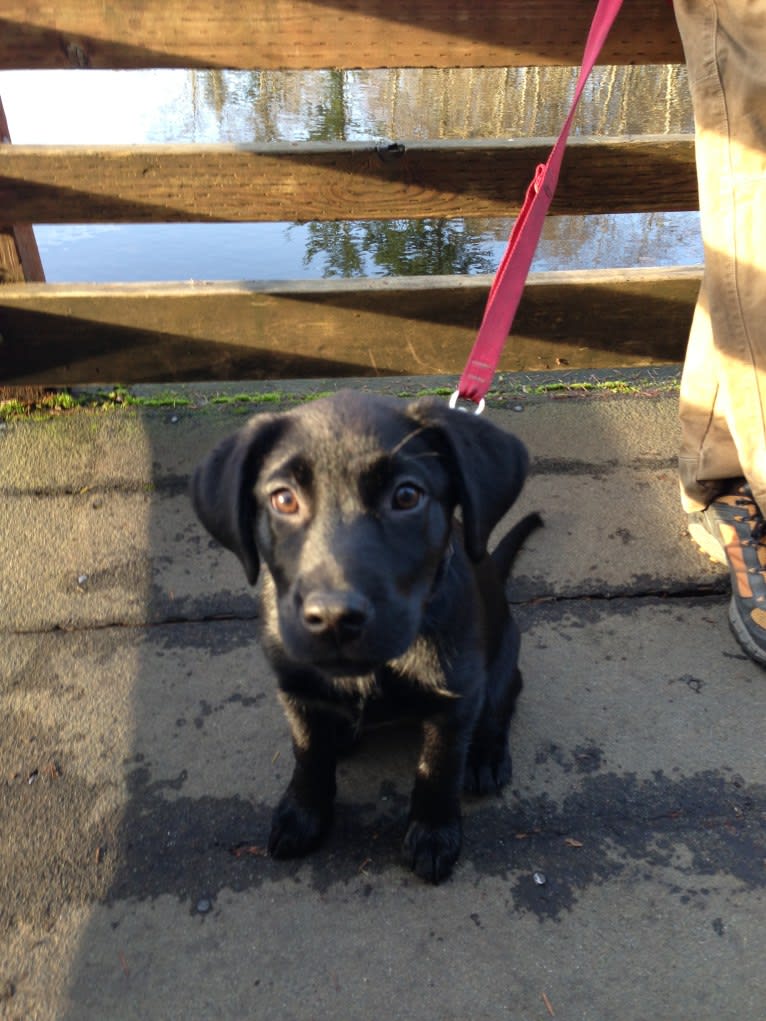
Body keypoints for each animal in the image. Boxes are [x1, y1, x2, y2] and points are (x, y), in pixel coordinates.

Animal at [192, 390, 539, 886]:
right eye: (283, 499)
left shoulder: (455, 698)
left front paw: (433, 833)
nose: (334, 618)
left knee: (502, 703)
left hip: (502, 660)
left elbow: (439, 766)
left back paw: (486, 755)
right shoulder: (296, 688)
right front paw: (303, 813)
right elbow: (308, 754)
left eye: (407, 496)